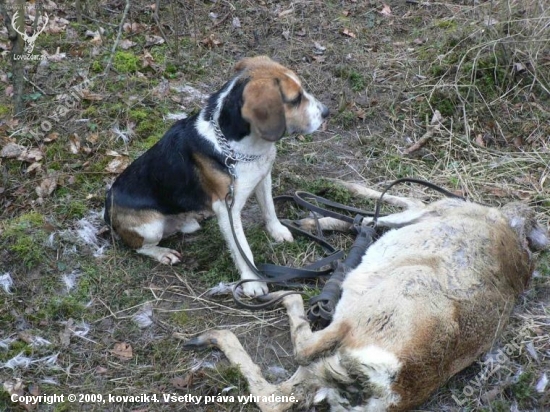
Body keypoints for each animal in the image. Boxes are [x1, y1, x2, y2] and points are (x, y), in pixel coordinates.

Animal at [104, 56, 328, 298]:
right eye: (295, 99)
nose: (327, 112)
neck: (235, 146)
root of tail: (107, 208)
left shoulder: (263, 177)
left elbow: (269, 209)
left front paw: (277, 231)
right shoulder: (227, 208)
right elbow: (242, 250)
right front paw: (252, 282)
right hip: (151, 227)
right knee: (139, 247)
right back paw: (163, 253)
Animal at [181, 182, 548, 412]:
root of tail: (387, 387)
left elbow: (394, 210)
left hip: (358, 318)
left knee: (297, 353)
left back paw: (222, 326)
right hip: (324, 367)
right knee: (277, 397)